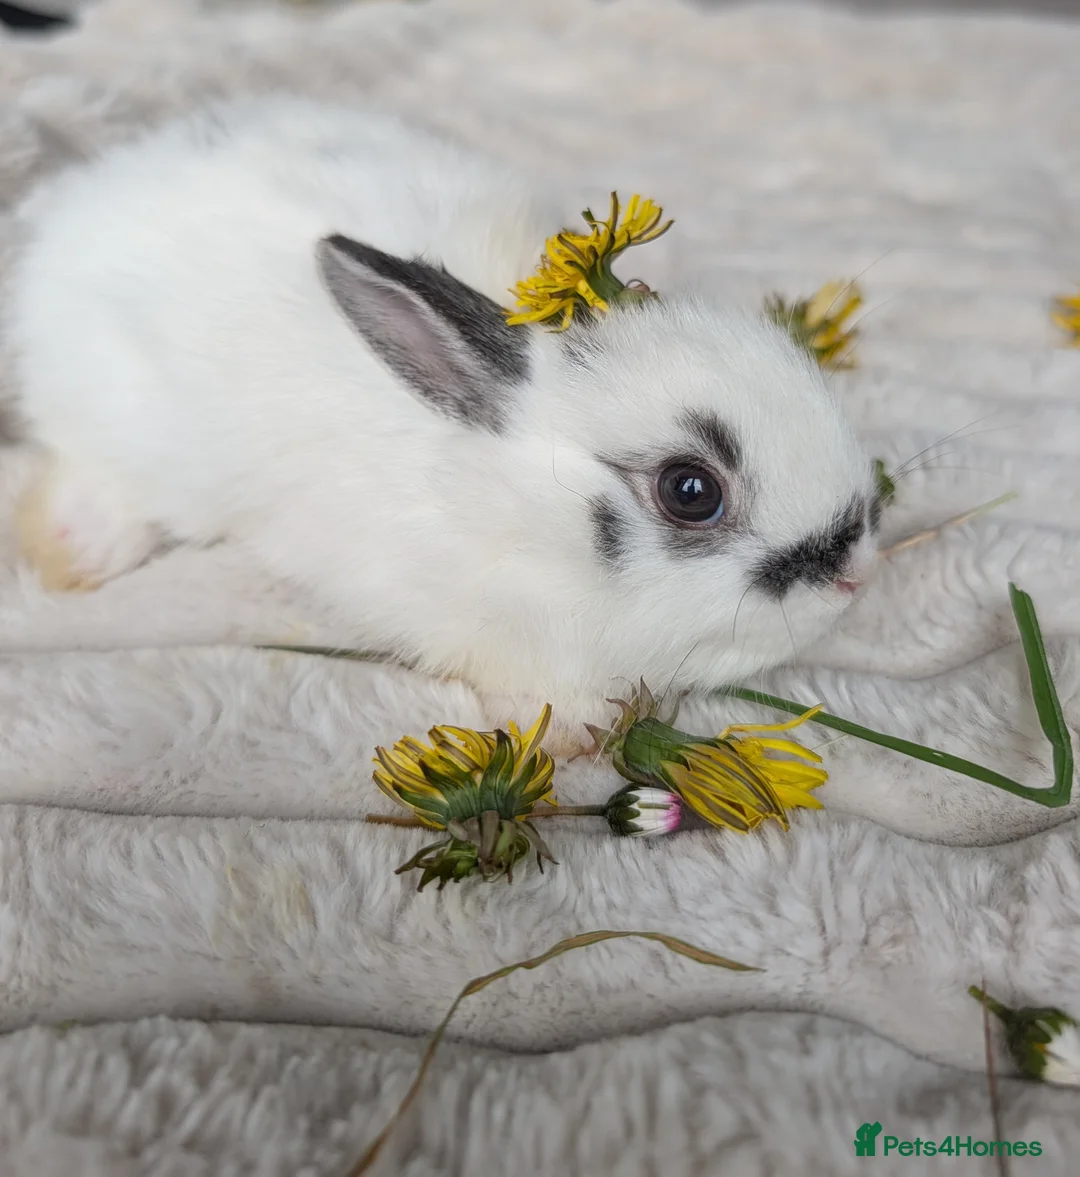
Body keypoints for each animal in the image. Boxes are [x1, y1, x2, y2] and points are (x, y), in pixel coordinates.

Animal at [5, 95, 879, 736]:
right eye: (690, 491)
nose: (856, 575)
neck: (506, 505)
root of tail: (65, 216)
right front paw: (569, 732)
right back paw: (76, 551)